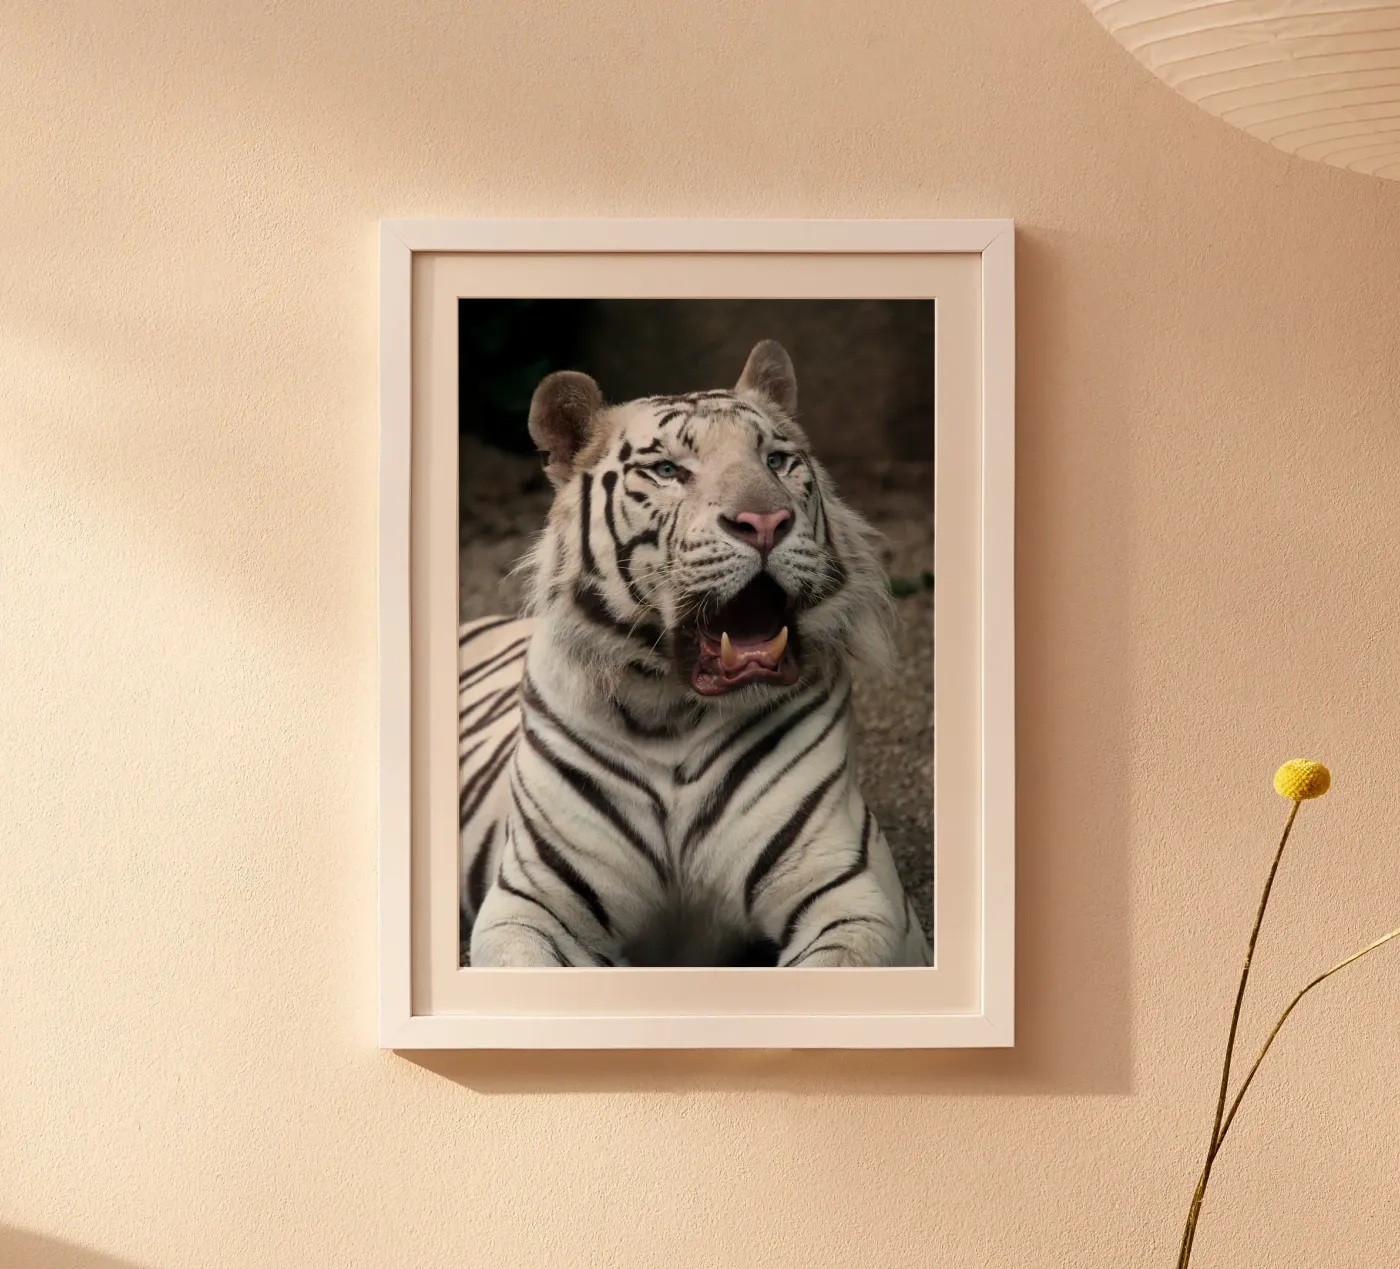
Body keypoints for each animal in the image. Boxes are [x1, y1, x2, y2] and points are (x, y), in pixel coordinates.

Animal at [458, 339, 932, 967]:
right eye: (668, 471)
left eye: (776, 461)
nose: (765, 521)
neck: (671, 714)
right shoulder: (532, 902)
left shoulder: (851, 889)